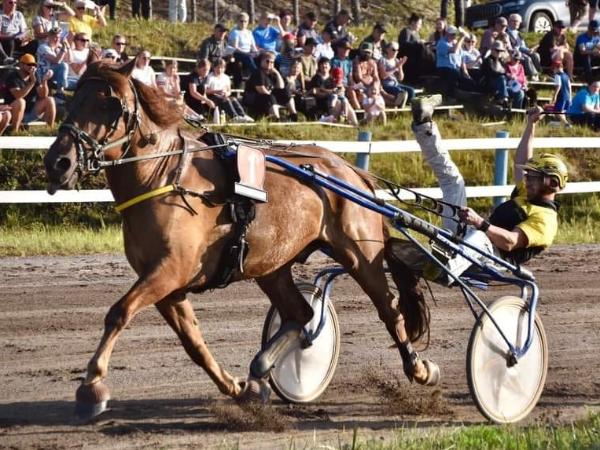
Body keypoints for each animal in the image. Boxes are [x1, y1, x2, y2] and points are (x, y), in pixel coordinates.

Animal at [44, 60, 440, 421]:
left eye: (109, 104)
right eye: (71, 100)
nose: (58, 163)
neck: (162, 177)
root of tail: (351, 171)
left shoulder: (170, 271)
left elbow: (119, 313)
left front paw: (91, 387)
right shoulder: (168, 284)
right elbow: (194, 343)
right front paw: (238, 388)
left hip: (360, 254)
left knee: (388, 309)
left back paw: (420, 368)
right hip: (272, 266)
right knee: (302, 314)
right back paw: (260, 368)